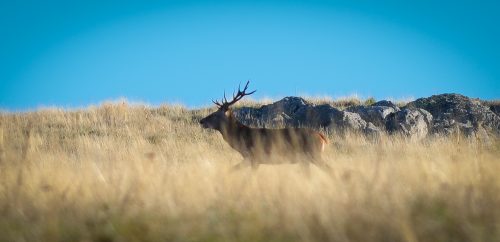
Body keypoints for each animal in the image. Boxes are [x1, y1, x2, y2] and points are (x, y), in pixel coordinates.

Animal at [199, 80, 332, 171]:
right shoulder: (249, 159)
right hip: (305, 159)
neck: (242, 138)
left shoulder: (254, 157)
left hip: (314, 154)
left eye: (215, 114)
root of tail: (322, 137)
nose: (201, 121)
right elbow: (232, 170)